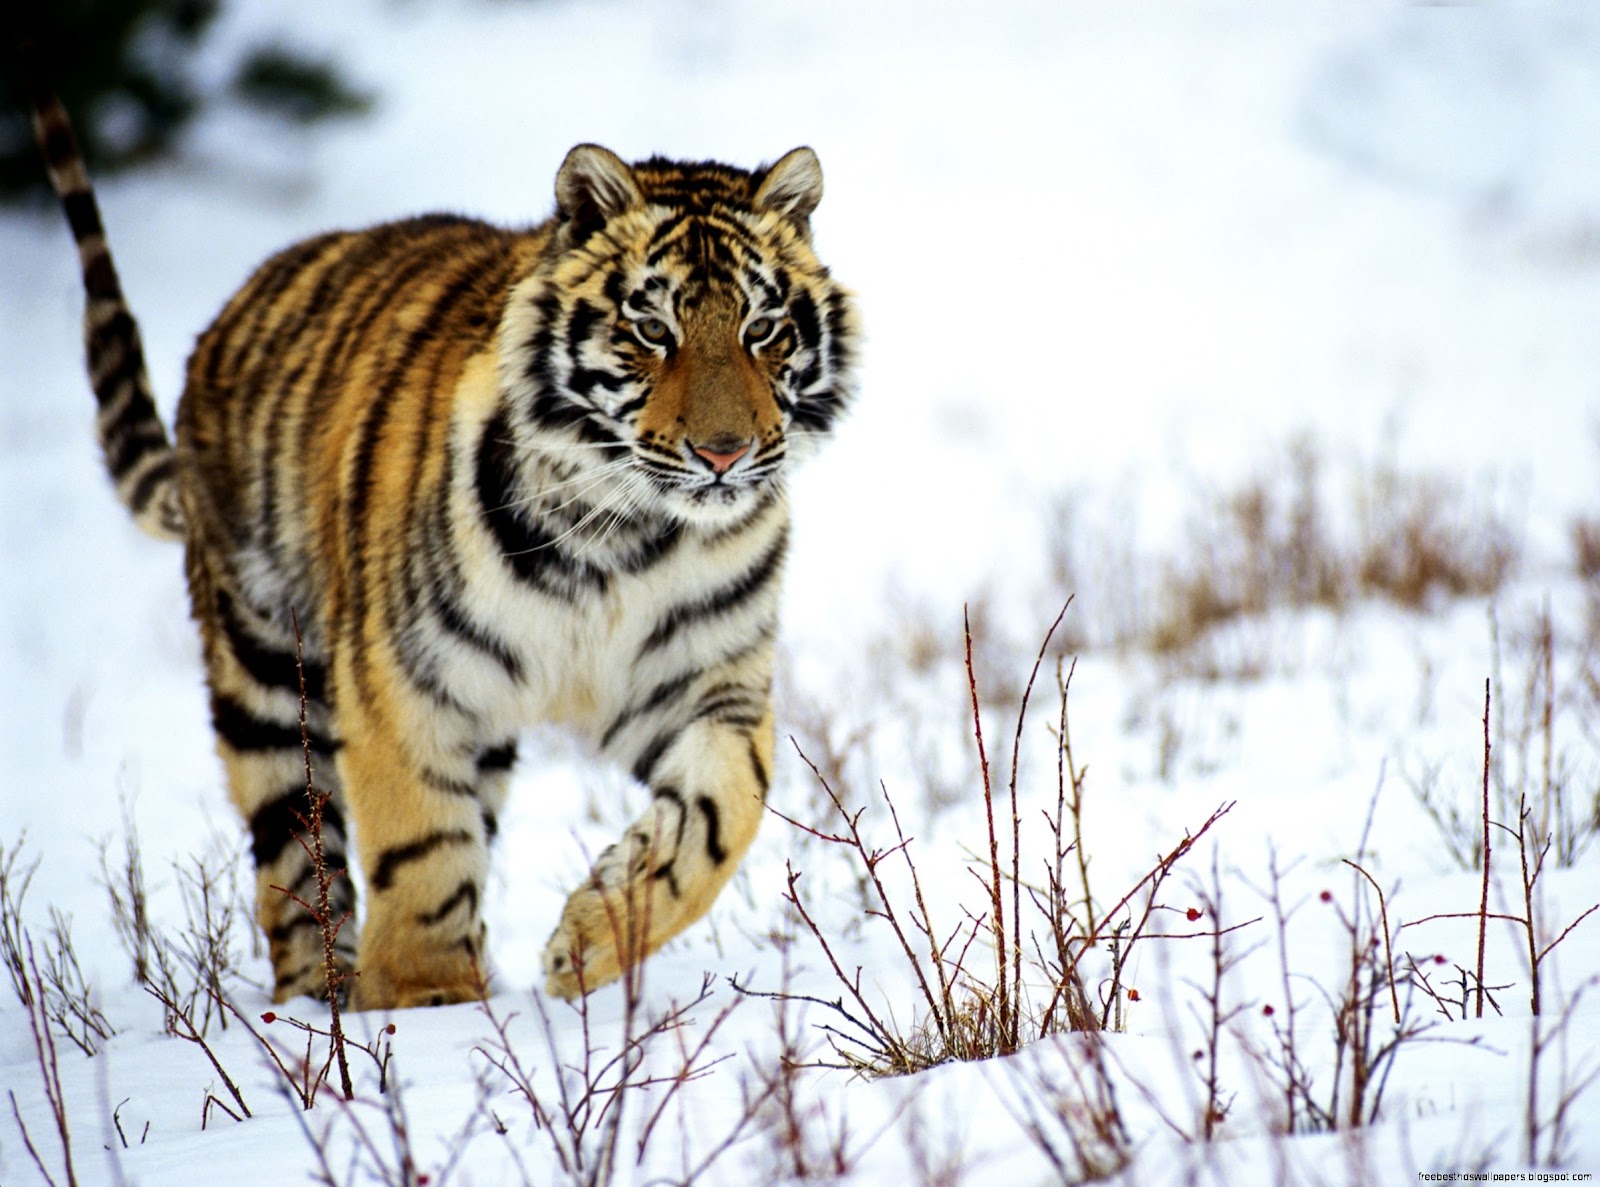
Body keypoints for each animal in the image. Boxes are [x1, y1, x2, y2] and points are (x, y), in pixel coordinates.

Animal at [27, 82, 858, 1008]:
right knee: (295, 864)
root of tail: (229, 314)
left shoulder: (706, 683)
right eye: (651, 330)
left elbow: (721, 815)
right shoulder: (404, 680)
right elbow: (421, 845)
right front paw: (431, 1006)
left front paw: (588, 941)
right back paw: (319, 1004)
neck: (625, 533)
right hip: (265, 674)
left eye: (763, 329)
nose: (724, 453)